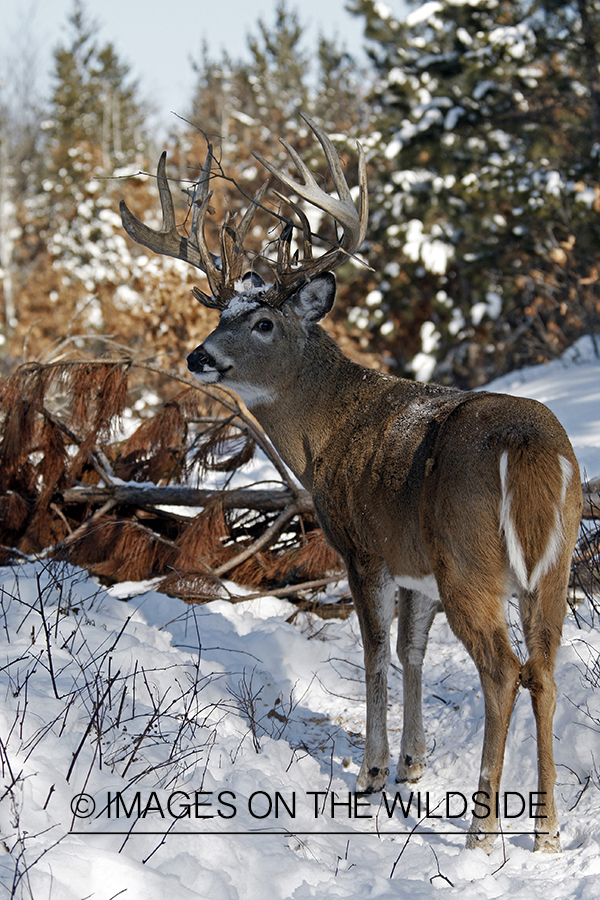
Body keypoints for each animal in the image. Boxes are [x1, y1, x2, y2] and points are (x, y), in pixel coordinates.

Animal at [119, 114, 584, 852]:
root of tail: (528, 447)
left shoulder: (364, 546)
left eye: (263, 321)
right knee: (542, 669)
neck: (325, 433)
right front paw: (412, 764)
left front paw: (371, 773)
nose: (199, 357)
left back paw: (482, 830)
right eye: (221, 315)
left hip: (471, 563)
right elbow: (411, 650)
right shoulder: (414, 563)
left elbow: (373, 651)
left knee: (503, 670)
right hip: (551, 567)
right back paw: (545, 832)